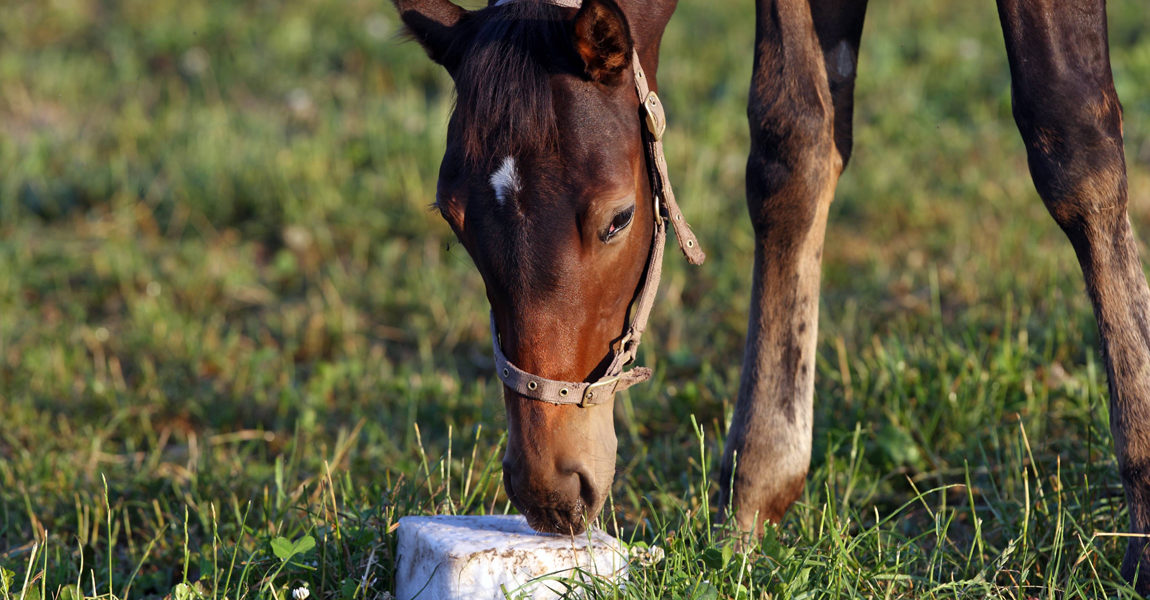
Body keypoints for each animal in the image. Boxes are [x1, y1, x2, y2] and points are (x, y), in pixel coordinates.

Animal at [388, 0, 1150, 588]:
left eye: (618, 219)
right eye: (453, 218)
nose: (547, 489)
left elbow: (1072, 134)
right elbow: (795, 144)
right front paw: (754, 495)